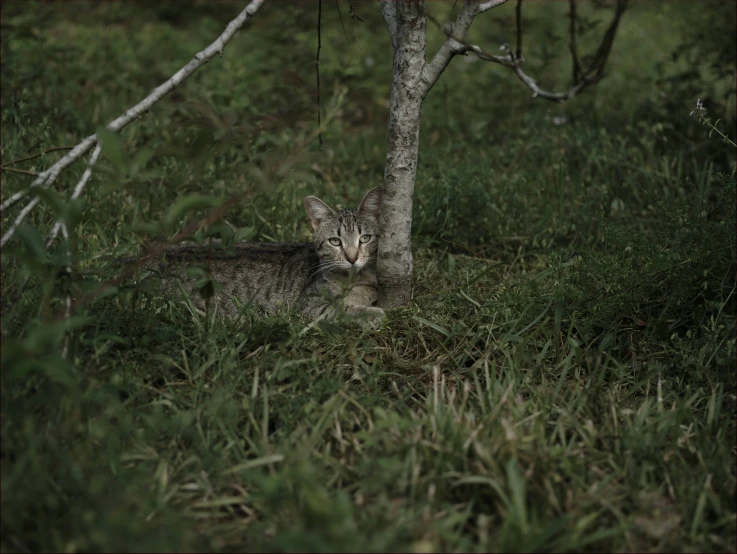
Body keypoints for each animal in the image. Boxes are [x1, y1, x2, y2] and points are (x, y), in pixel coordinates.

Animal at [138, 185, 388, 326]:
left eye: (365, 238)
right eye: (335, 241)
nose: (352, 257)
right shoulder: (310, 307)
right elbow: (342, 309)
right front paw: (374, 313)